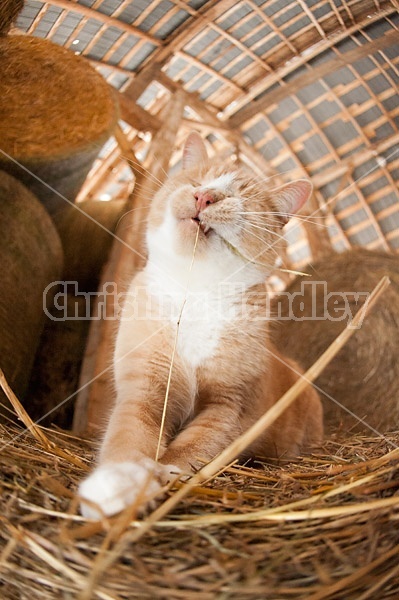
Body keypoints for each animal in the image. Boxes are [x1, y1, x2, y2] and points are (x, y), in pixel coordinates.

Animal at [79, 134, 324, 516]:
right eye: (196, 182)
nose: (205, 196)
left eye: (239, 197)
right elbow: (128, 434)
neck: (194, 293)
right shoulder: (145, 389)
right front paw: (118, 482)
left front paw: (165, 472)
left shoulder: (228, 409)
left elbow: (192, 449)